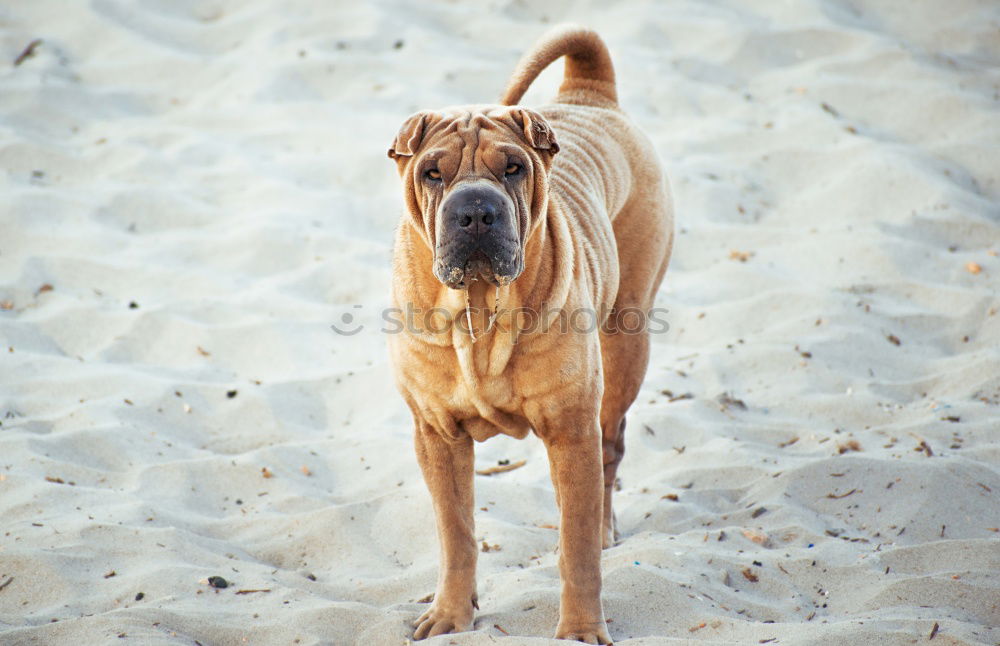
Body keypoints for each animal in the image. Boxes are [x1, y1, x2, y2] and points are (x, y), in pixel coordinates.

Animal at [386, 22, 676, 644]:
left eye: (513, 168)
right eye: (432, 172)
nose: (475, 211)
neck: (480, 313)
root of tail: (589, 92)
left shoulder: (570, 431)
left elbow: (578, 549)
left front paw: (581, 628)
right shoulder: (436, 435)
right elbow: (457, 533)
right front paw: (451, 615)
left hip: (626, 342)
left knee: (609, 453)